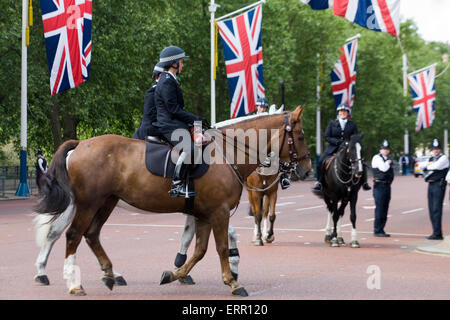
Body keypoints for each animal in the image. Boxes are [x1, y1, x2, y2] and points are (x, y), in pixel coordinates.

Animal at [35, 106, 312, 296]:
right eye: (300, 136)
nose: (307, 170)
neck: (227, 153)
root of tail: (80, 144)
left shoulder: (203, 214)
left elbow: (199, 249)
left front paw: (174, 273)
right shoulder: (219, 212)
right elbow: (221, 246)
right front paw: (233, 280)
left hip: (106, 203)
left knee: (91, 234)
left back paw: (110, 274)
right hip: (87, 204)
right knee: (68, 235)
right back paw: (69, 282)